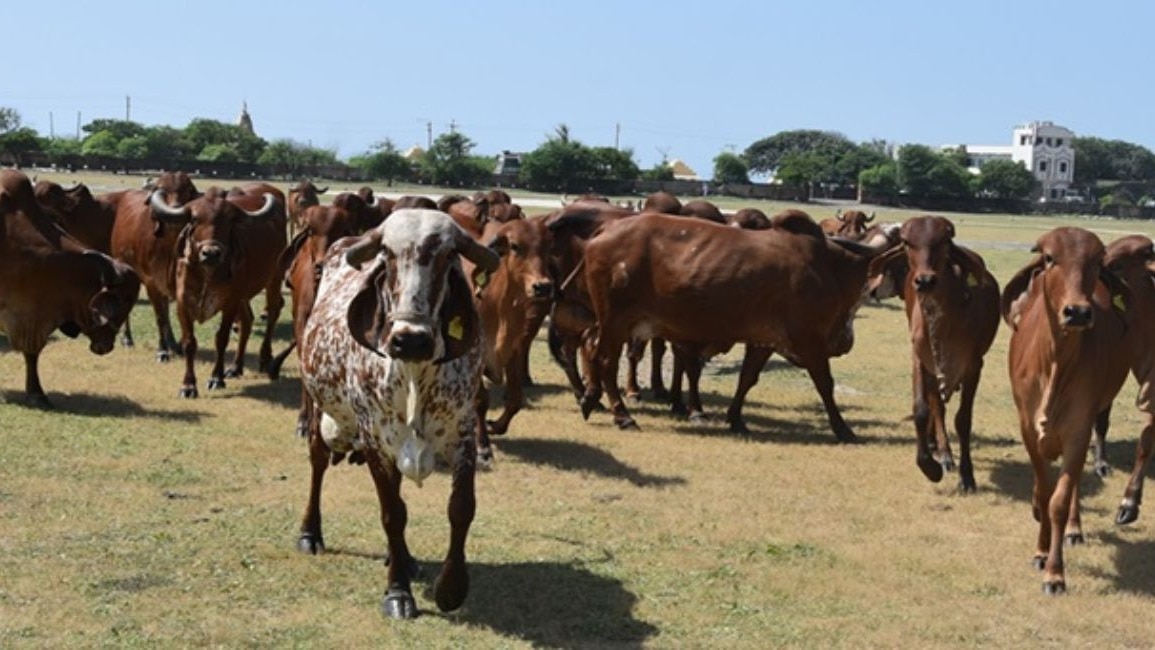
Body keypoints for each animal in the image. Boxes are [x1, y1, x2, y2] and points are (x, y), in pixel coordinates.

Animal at [149, 184, 287, 397]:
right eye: (194, 219)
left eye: (229, 221)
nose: (211, 253)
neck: (208, 274)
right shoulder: (183, 303)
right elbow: (189, 342)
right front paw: (188, 385)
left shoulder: (229, 303)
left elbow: (221, 339)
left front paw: (216, 378)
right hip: (243, 296)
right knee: (247, 321)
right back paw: (236, 367)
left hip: (274, 278)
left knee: (273, 312)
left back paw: (265, 359)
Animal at [296, 208, 500, 619]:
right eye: (387, 255)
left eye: (448, 256)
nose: (411, 339)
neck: (414, 373)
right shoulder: (375, 440)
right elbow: (393, 514)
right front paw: (398, 593)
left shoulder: (463, 434)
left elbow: (461, 507)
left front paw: (451, 587)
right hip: (318, 408)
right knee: (318, 460)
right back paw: (311, 533)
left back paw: (403, 558)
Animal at [578, 209, 887, 440]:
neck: (830, 268)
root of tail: (606, 229)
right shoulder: (809, 339)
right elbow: (825, 383)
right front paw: (843, 428)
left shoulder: (765, 341)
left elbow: (747, 377)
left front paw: (735, 418)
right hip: (615, 321)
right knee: (605, 360)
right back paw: (622, 416)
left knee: (593, 348)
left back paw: (591, 398)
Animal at [867, 216, 1000, 492]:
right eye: (907, 242)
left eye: (944, 241)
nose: (925, 281)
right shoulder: (920, 358)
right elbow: (922, 409)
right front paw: (929, 465)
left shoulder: (974, 365)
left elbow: (963, 419)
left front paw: (967, 476)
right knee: (936, 405)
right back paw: (943, 452)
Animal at [1001, 226, 1133, 594]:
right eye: (1049, 257)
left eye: (1097, 261)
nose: (1077, 312)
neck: (1055, 363)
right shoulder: (1028, 429)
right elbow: (1044, 491)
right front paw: (1040, 551)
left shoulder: (1079, 429)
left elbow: (1058, 500)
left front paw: (1054, 573)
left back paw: (1074, 529)